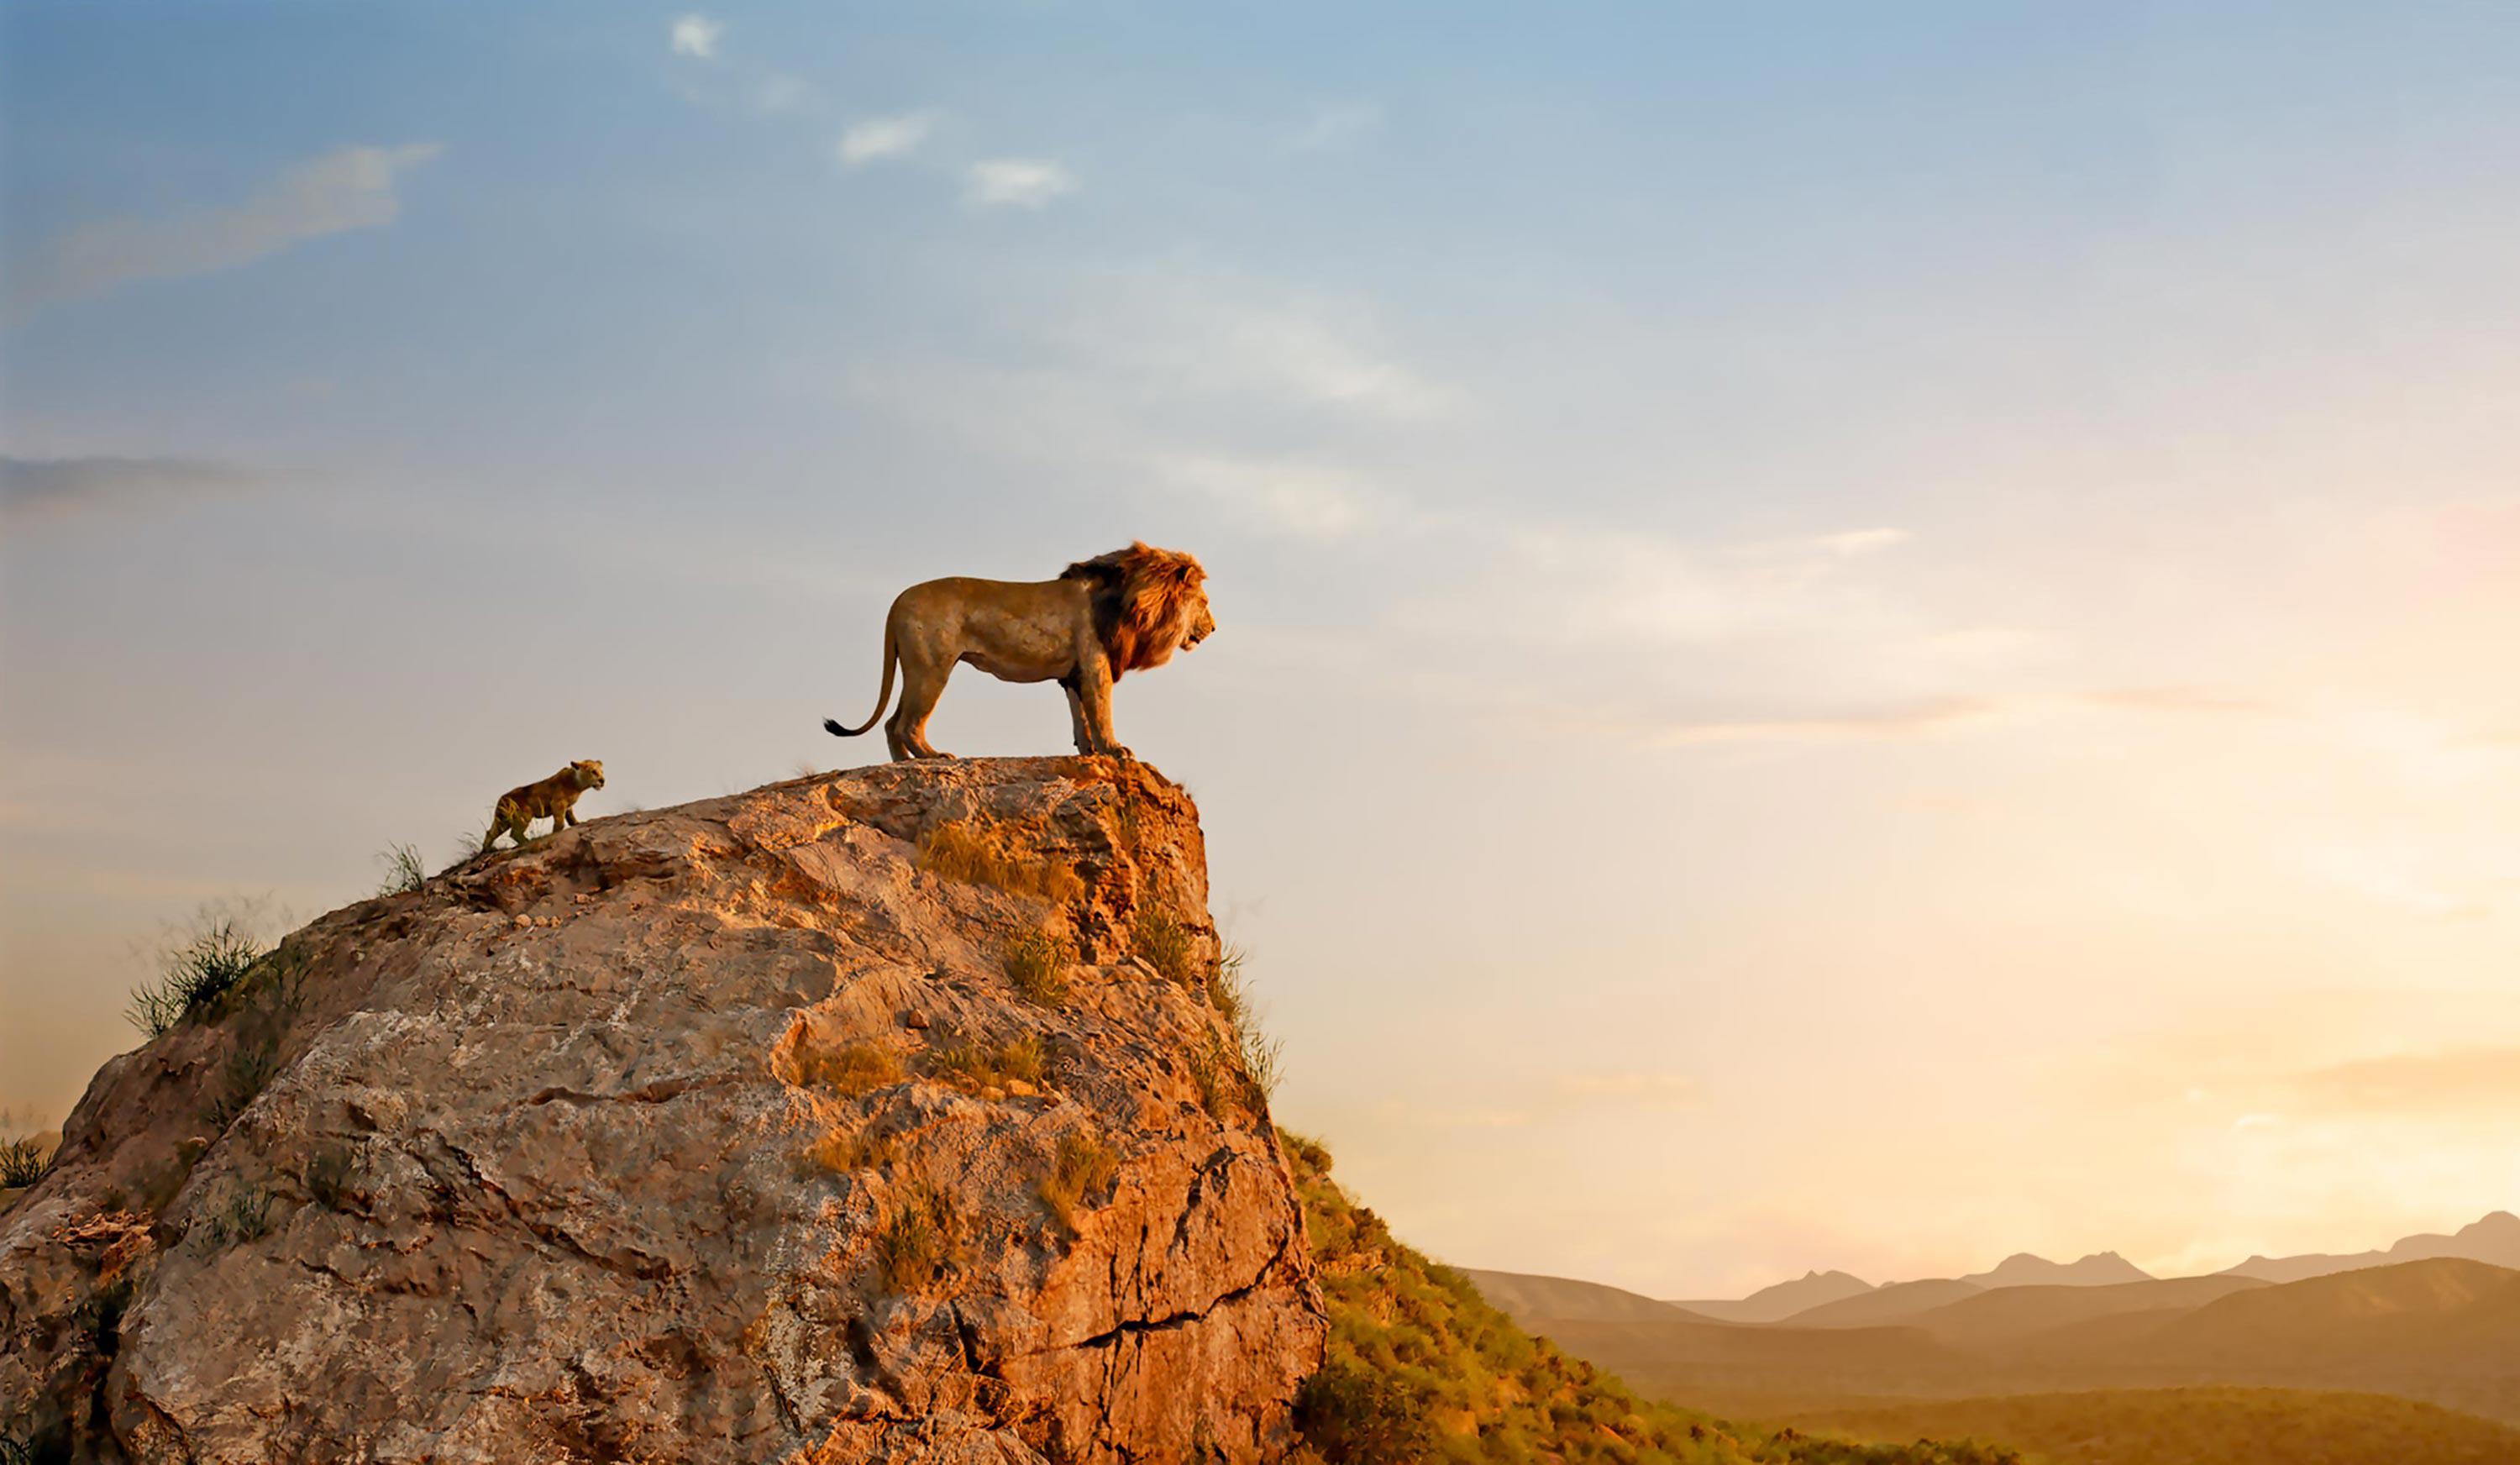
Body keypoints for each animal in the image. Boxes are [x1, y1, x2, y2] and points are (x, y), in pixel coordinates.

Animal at [480, 759, 606, 852]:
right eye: (593, 771)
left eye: (602, 772)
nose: (602, 780)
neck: (577, 785)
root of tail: (503, 798)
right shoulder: (557, 803)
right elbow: (559, 820)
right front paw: (555, 833)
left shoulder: (568, 806)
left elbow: (570, 817)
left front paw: (577, 823)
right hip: (525, 814)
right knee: (514, 833)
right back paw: (529, 841)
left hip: (502, 820)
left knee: (490, 833)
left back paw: (488, 849)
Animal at [824, 542, 1215, 762]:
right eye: (1204, 602)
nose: (1213, 628)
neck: (1128, 600)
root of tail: (897, 602)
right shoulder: (1095, 665)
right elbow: (1101, 713)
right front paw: (1115, 750)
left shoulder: (1074, 674)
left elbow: (1081, 717)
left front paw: (1089, 752)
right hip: (933, 669)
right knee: (907, 725)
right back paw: (934, 758)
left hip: (915, 668)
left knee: (892, 724)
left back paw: (905, 765)